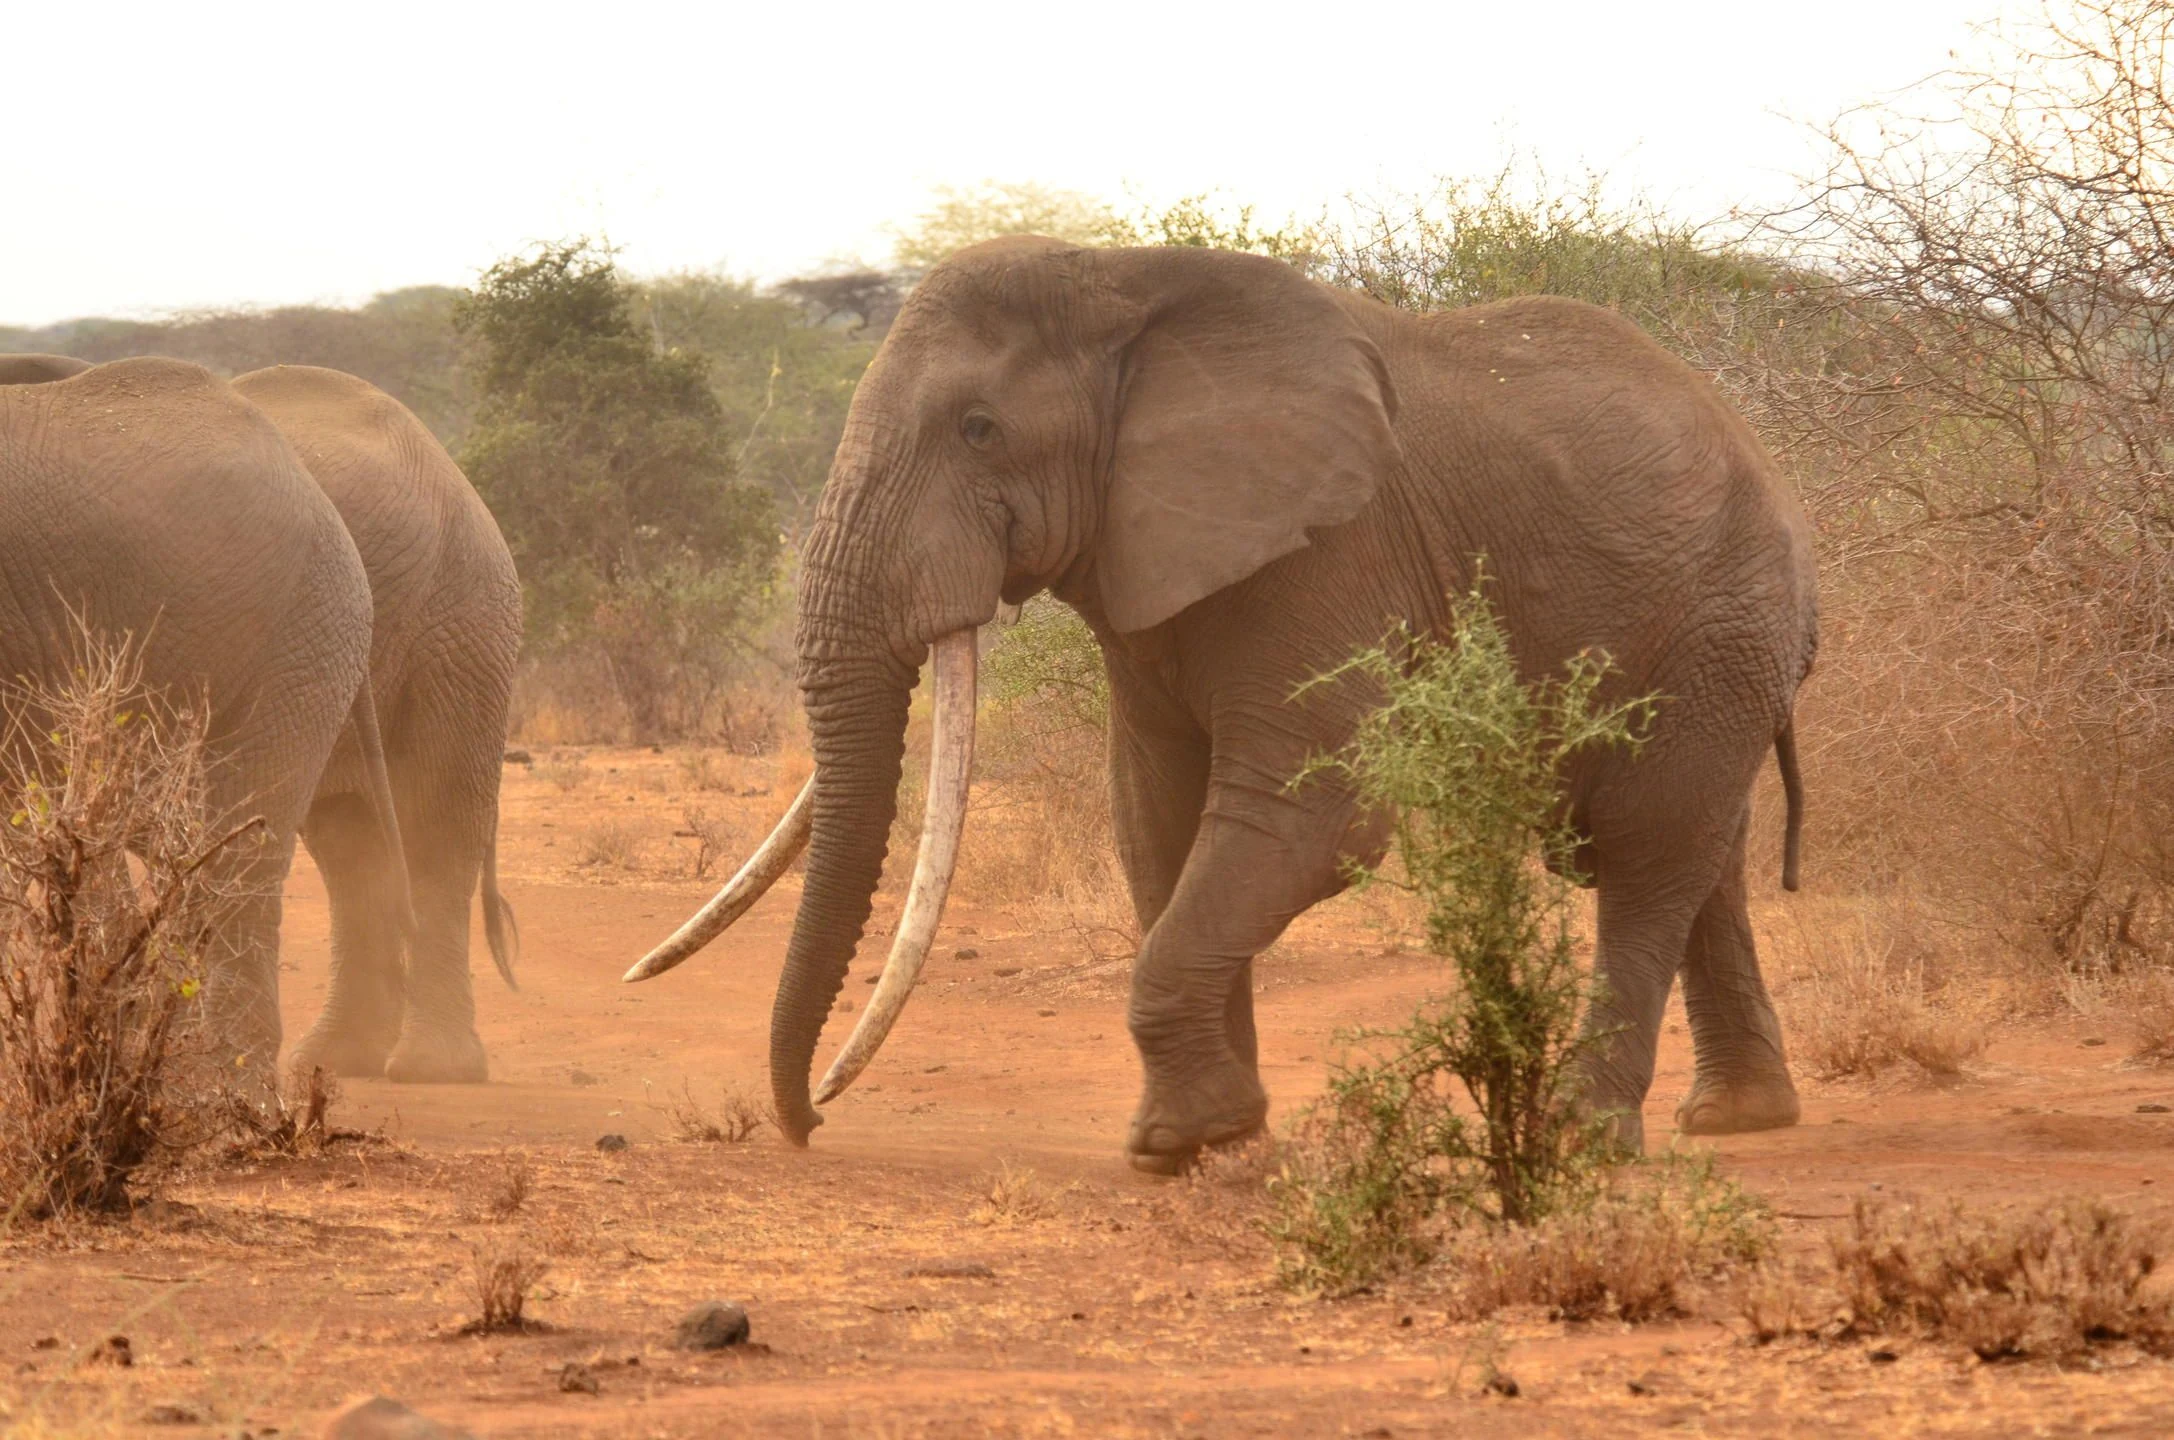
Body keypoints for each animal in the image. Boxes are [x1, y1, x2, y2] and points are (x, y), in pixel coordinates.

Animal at [629, 239, 1819, 1174]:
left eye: (977, 429)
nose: (808, 1124)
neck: (1118, 279)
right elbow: (1156, 816)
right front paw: (1218, 1133)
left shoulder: (1332, 551)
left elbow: (1314, 817)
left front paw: (1180, 1142)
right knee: (1700, 855)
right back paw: (1737, 1119)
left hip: (1719, 623)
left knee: (1646, 856)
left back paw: (1584, 1137)